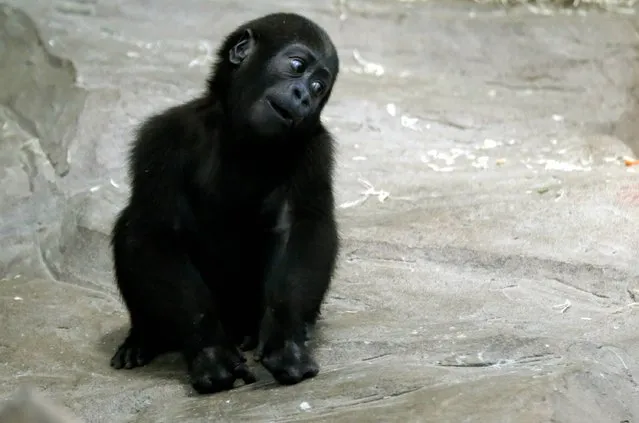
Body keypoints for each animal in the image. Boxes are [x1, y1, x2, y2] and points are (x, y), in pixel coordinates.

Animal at [109, 14, 340, 398]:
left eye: (320, 86)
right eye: (296, 67)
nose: (305, 96)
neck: (241, 133)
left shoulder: (314, 146)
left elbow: (302, 228)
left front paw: (286, 340)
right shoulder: (163, 136)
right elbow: (157, 232)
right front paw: (210, 351)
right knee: (131, 226)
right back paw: (145, 335)